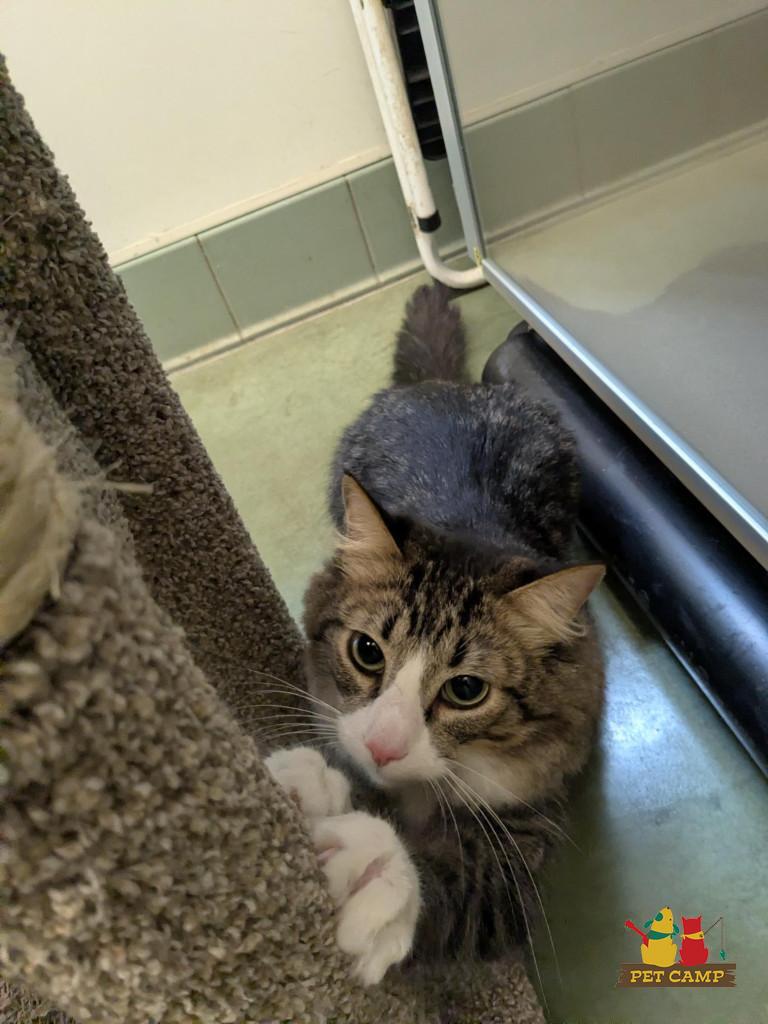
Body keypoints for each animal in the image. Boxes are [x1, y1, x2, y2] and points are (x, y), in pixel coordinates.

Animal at [266, 283, 605, 986]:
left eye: (467, 690)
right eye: (367, 652)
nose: (385, 746)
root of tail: (445, 386)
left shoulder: (522, 839)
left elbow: (450, 879)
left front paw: (372, 866)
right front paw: (309, 785)